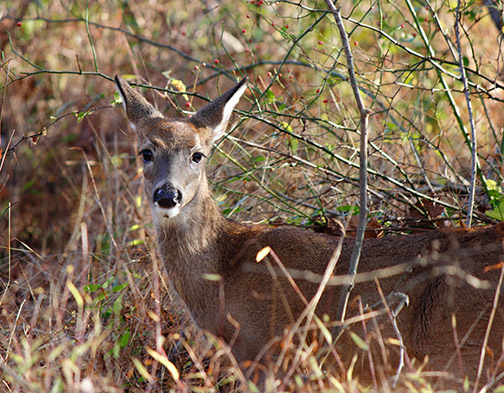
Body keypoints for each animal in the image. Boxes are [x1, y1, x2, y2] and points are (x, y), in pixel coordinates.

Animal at [114, 75, 504, 388]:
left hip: (462, 354)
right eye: (145, 152)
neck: (225, 274)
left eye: (198, 155)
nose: (168, 194)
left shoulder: (267, 352)